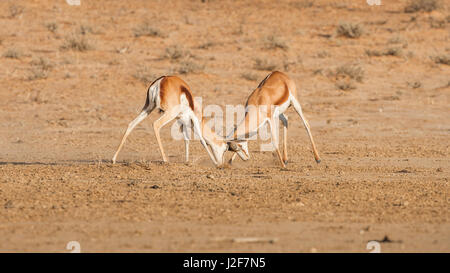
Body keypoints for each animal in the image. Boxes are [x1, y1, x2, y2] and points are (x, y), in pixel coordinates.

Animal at [111, 75, 239, 166]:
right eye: (225, 149)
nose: (222, 163)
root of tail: (160, 81)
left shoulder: (182, 121)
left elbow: (186, 139)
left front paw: (187, 161)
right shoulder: (194, 119)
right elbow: (202, 140)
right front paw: (215, 163)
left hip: (148, 108)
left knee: (131, 124)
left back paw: (113, 159)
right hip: (169, 113)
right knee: (156, 125)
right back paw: (165, 159)